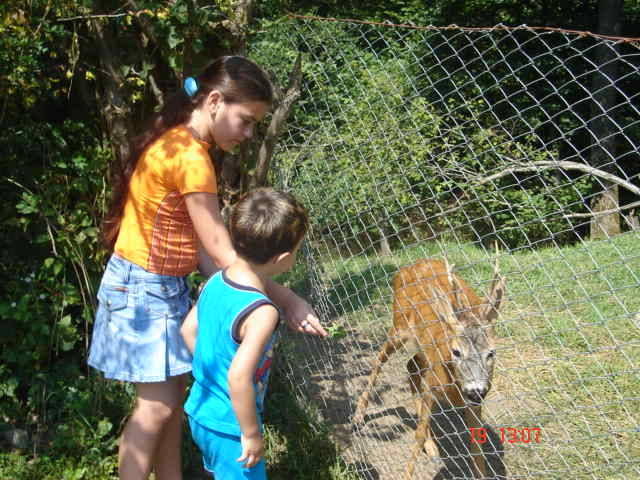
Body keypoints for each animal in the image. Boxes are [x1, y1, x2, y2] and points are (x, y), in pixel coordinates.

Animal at [350, 256, 504, 478]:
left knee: (410, 365)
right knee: (379, 359)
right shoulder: (432, 386)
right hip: (399, 326)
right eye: (456, 351)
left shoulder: (475, 402)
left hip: (422, 348)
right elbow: (419, 433)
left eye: (491, 352)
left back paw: (431, 448)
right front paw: (406, 474)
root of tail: (406, 268)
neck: (454, 388)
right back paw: (358, 416)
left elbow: (477, 447)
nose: (475, 391)